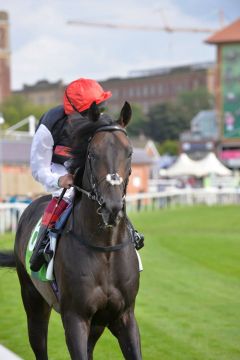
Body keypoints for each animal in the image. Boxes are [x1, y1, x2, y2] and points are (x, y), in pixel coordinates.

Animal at [0, 102, 141, 360]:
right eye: (93, 154)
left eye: (129, 153)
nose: (112, 207)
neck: (105, 248)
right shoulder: (75, 318)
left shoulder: (123, 316)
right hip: (33, 300)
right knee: (39, 342)